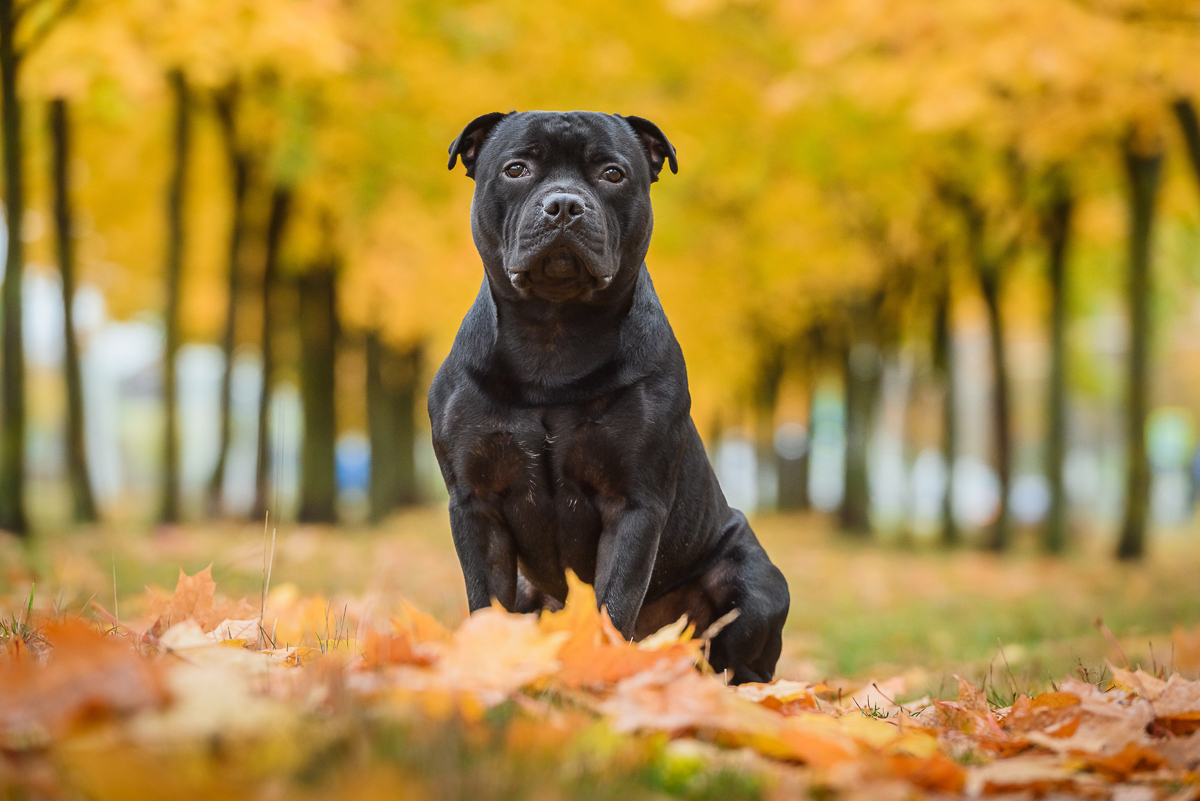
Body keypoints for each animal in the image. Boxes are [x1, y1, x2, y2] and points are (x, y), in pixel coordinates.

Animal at [429, 109, 787, 681]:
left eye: (613, 174)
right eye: (515, 168)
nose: (564, 204)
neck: (553, 338)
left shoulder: (633, 505)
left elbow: (614, 603)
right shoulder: (476, 503)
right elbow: (486, 603)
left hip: (756, 584)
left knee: (742, 665)